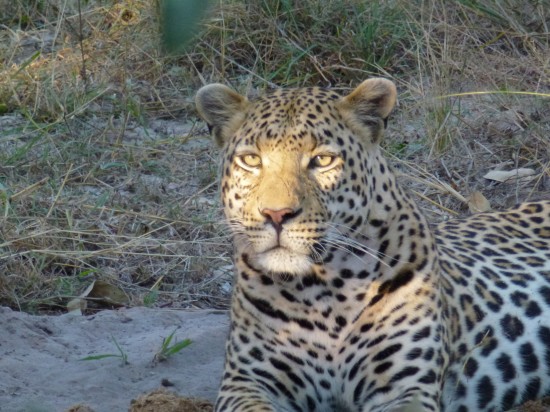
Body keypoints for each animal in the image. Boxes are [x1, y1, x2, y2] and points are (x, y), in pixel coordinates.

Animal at [195, 78, 550, 412]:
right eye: (251, 160)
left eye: (322, 160)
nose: (276, 214)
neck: (322, 291)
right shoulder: (246, 382)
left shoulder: (405, 388)